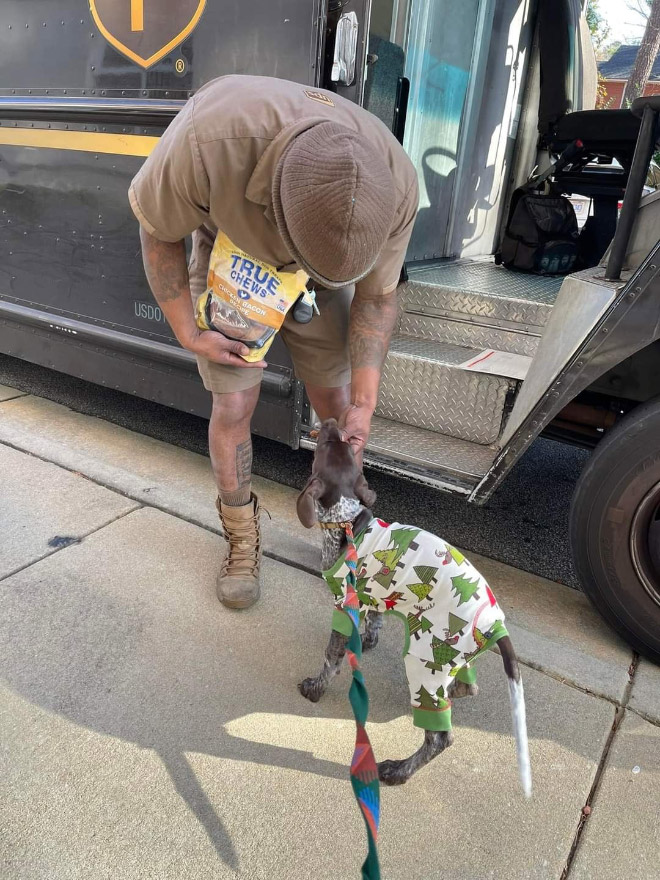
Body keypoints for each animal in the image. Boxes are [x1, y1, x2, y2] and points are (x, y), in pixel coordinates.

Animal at [298, 416, 532, 796]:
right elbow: (375, 621)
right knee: (466, 686)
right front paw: (367, 642)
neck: (347, 520)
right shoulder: (372, 598)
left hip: (425, 655)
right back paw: (455, 690)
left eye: (326, 446)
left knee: (440, 738)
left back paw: (399, 771)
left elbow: (331, 659)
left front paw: (315, 689)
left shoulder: (344, 607)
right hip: (454, 654)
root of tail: (497, 623)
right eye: (340, 443)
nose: (332, 421)